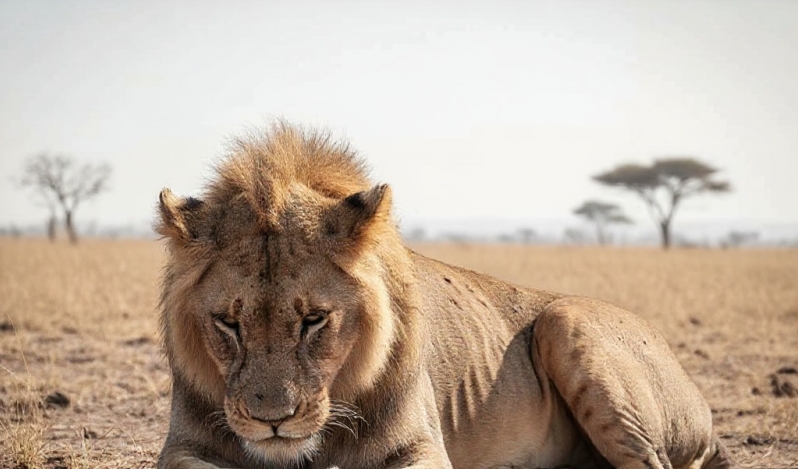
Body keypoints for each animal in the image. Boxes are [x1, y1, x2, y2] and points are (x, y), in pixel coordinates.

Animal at [155, 123, 735, 469]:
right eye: (228, 324)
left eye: (314, 320)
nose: (272, 421)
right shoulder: (184, 446)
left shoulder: (420, 445)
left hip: (566, 319)